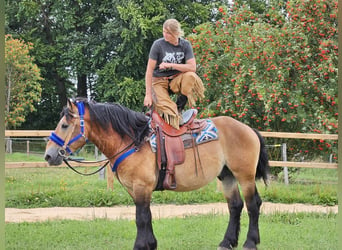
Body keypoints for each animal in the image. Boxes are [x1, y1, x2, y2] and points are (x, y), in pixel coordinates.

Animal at [44, 97, 268, 250]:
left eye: (64, 125)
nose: (49, 155)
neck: (134, 141)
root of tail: (248, 129)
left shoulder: (141, 187)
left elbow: (141, 218)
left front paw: (140, 246)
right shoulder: (136, 190)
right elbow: (147, 216)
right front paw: (150, 244)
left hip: (245, 176)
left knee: (252, 205)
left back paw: (250, 242)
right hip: (227, 176)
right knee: (235, 206)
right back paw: (227, 242)